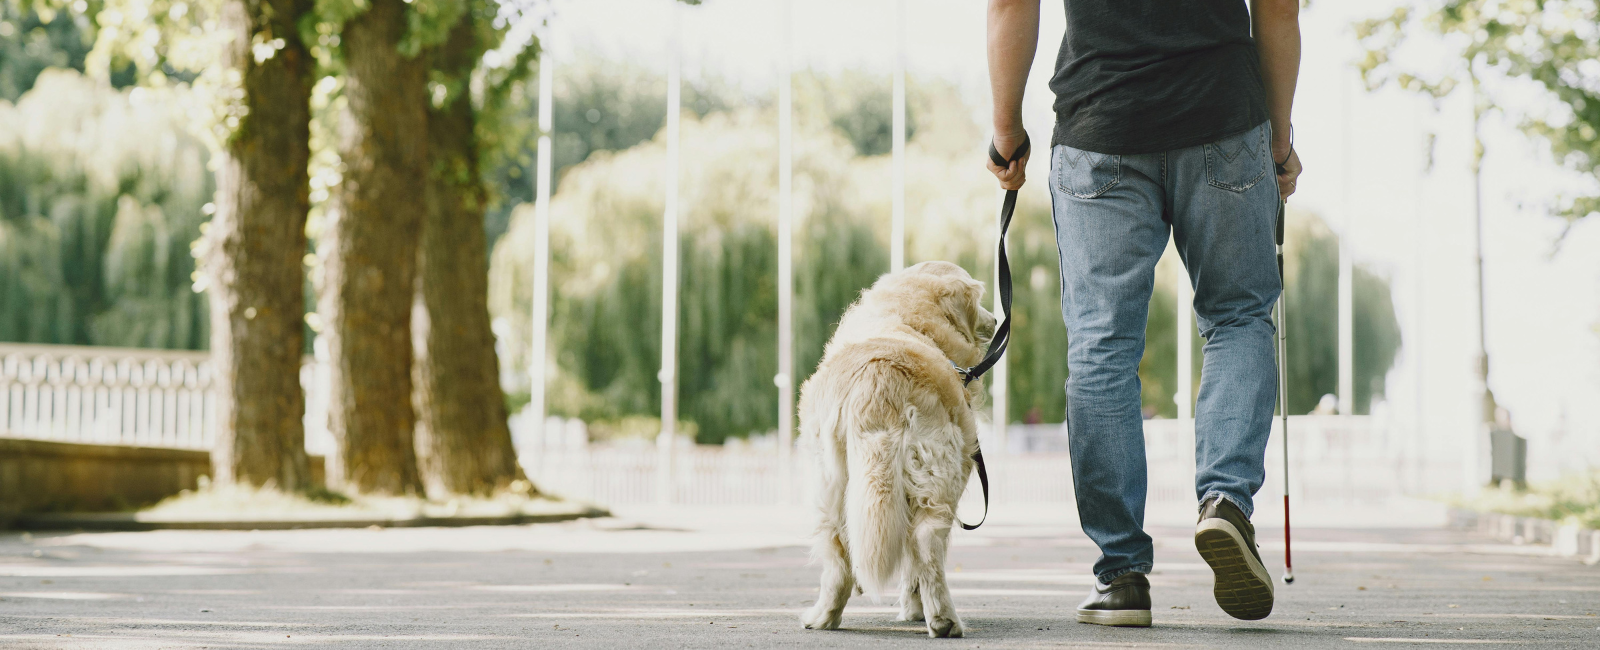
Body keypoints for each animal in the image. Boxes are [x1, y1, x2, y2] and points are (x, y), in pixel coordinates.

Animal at [793, 260, 992, 637]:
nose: (994, 320)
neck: (912, 321)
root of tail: (877, 380)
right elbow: (916, 564)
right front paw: (915, 609)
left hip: (829, 483)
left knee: (838, 557)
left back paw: (823, 617)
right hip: (938, 478)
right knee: (926, 543)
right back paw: (944, 620)